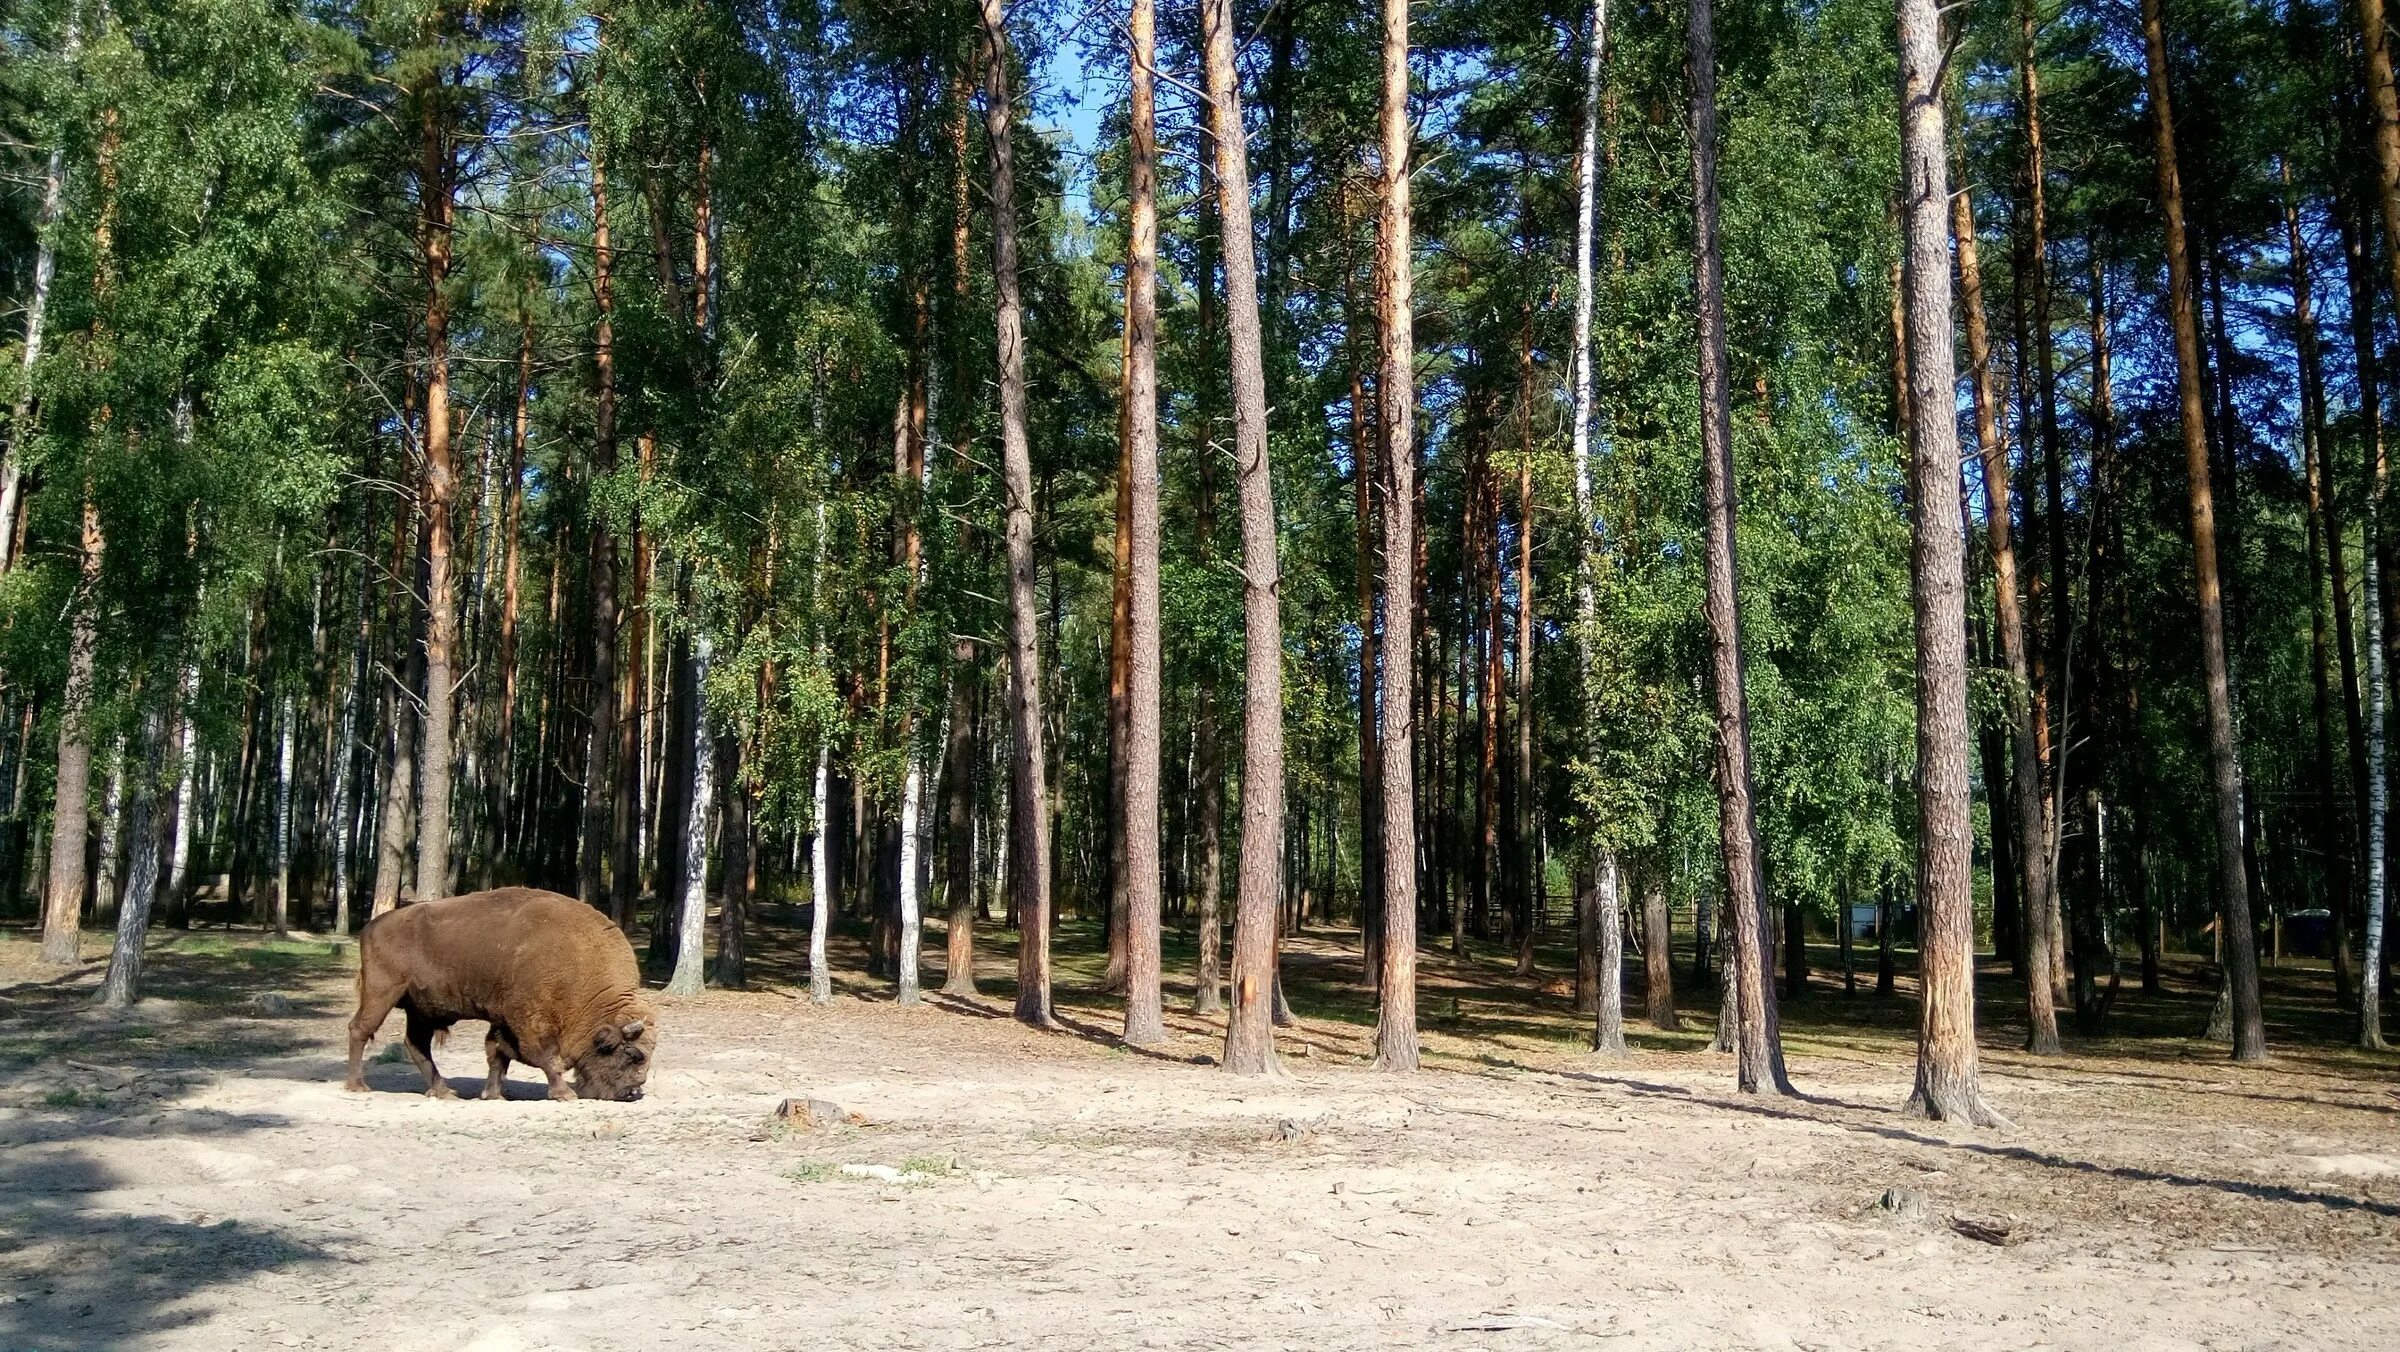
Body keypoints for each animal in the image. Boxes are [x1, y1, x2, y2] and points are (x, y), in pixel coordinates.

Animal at [345, 888, 657, 1099]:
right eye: (632, 1055)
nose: (632, 1092)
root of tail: (372, 926)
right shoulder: (529, 1021)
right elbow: (544, 1055)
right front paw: (563, 1093)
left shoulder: (502, 1019)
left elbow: (497, 1051)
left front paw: (492, 1094)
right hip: (382, 993)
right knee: (360, 1029)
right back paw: (358, 1086)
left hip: (421, 1009)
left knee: (416, 1044)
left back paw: (443, 1091)